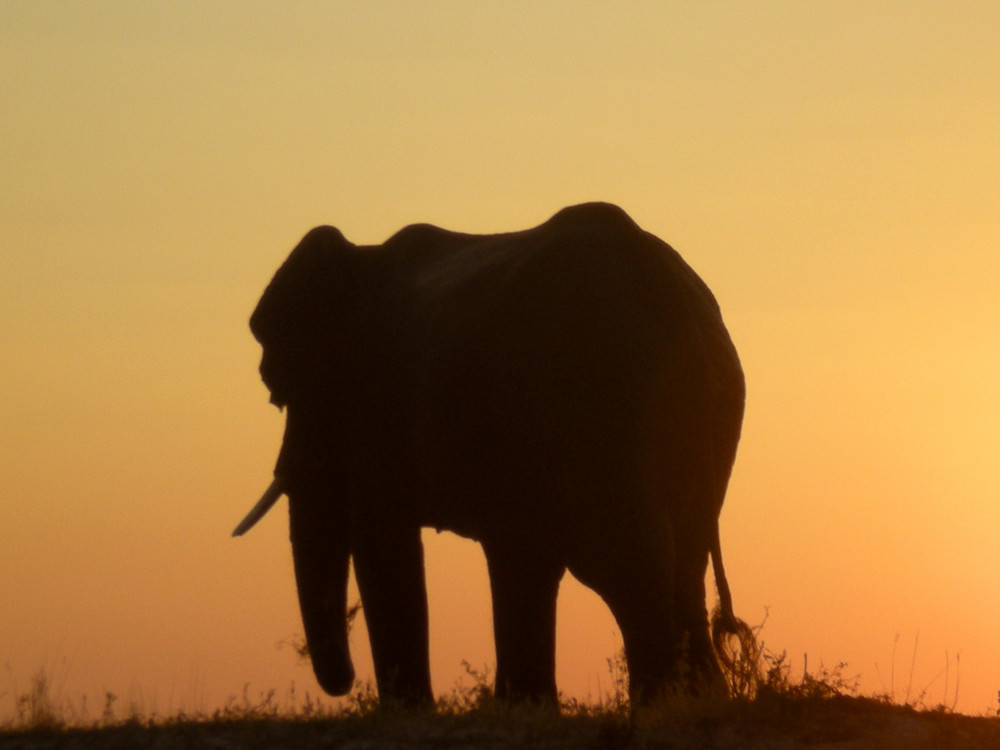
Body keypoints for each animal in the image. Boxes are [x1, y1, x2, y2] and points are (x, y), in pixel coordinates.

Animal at [234, 203, 744, 708]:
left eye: (278, 396)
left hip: (608, 403)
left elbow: (383, 539)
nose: (342, 681)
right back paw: (696, 703)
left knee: (624, 566)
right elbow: (520, 554)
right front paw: (526, 709)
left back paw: (660, 708)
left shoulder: (376, 411)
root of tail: (679, 301)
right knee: (683, 569)